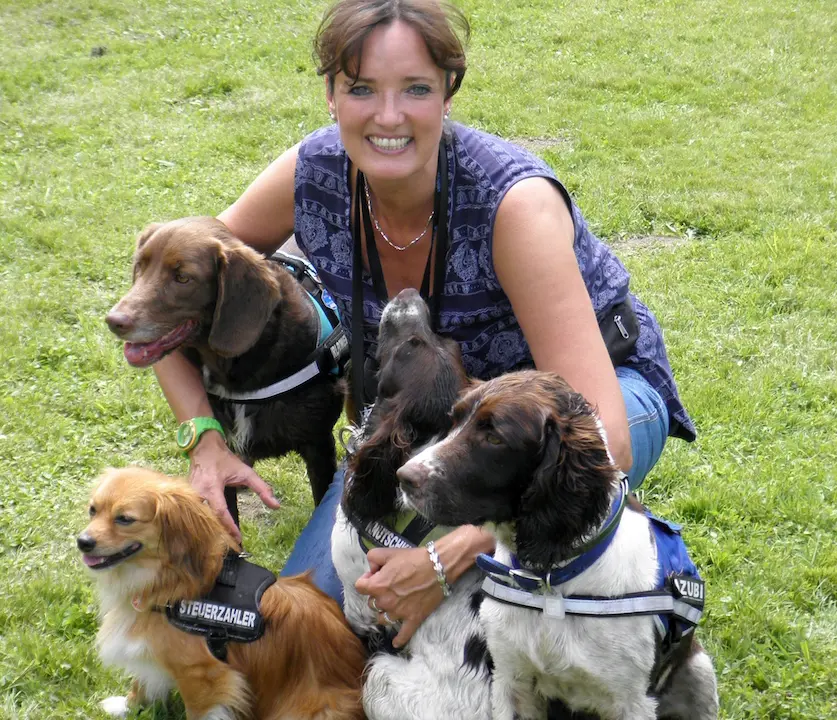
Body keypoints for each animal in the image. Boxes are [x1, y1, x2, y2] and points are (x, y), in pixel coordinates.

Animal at [78, 466, 366, 720]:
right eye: (93, 511)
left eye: (124, 519)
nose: (83, 541)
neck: (168, 585)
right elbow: (141, 682)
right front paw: (128, 707)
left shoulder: (204, 676)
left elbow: (197, 712)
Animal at [398, 370, 719, 720]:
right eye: (454, 420)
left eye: (494, 438)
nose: (403, 477)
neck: (550, 584)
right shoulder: (509, 676)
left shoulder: (634, 700)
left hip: (700, 670)